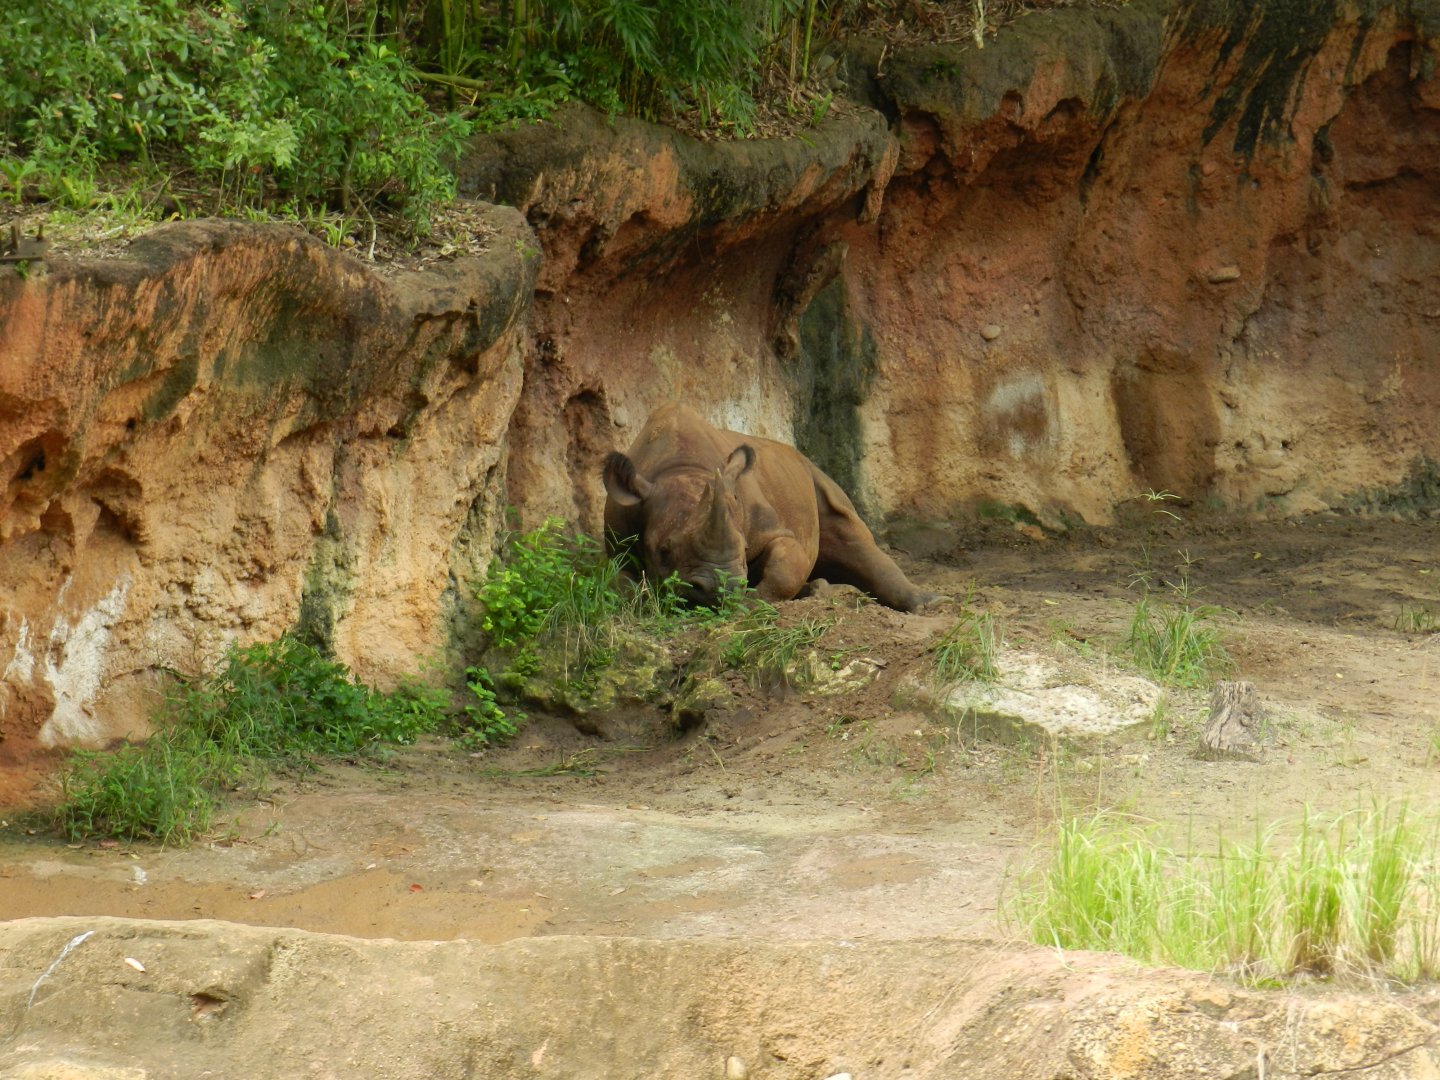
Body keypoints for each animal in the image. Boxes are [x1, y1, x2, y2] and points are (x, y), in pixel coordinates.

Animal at [602, 402, 938, 612]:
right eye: (663, 552)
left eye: (743, 547)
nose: (720, 591)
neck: (681, 467)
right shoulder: (618, 543)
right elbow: (619, 583)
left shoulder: (768, 526)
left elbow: (787, 564)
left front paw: (750, 604)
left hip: (812, 472)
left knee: (851, 534)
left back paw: (925, 604)